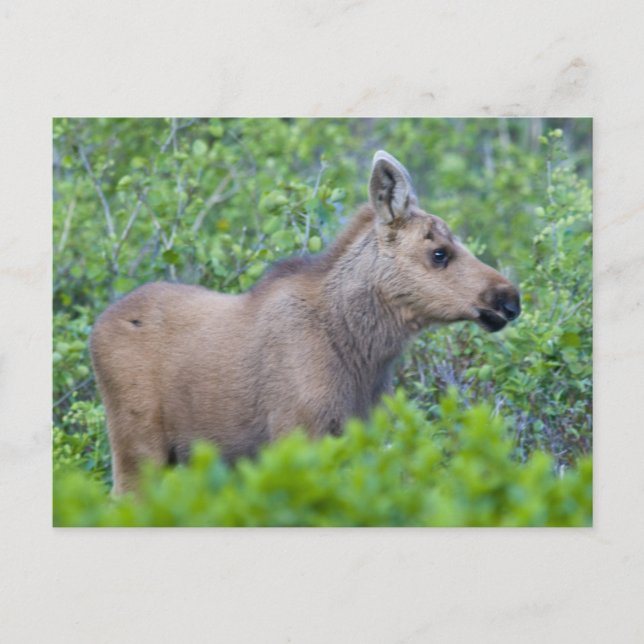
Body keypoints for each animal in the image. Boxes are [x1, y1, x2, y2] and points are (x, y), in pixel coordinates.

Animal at [90, 151, 521, 494]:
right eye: (439, 253)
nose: (510, 299)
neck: (363, 353)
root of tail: (95, 328)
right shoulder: (297, 433)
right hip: (136, 448)